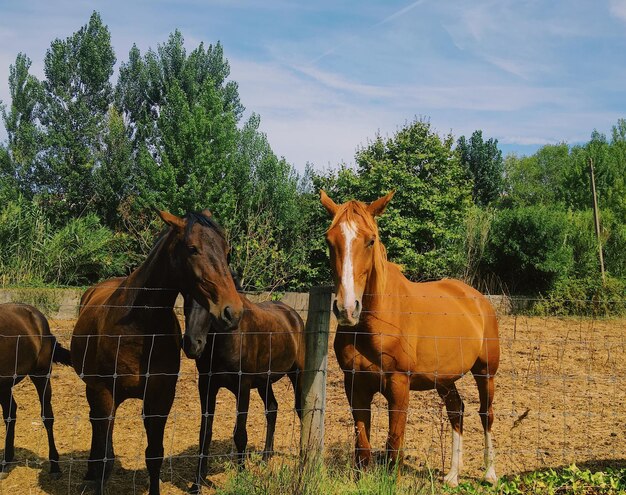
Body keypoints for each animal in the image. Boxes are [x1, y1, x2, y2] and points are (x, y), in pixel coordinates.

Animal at [0, 302, 71, 480]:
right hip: (5, 385)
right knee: (10, 413)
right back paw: (5, 463)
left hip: (41, 375)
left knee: (47, 416)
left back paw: (55, 467)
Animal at [70, 210, 241, 495]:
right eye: (192, 249)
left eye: (227, 251)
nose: (232, 312)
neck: (139, 327)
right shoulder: (105, 392)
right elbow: (106, 457)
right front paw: (98, 474)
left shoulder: (160, 397)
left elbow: (154, 454)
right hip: (94, 390)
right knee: (97, 427)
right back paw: (90, 471)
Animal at [182, 292, 304, 494]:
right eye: (186, 296)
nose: (192, 345)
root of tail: (292, 314)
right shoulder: (206, 386)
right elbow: (204, 434)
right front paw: (197, 484)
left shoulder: (243, 387)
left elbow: (240, 434)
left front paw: (241, 477)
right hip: (264, 382)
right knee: (272, 409)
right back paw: (265, 457)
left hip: (297, 373)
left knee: (302, 410)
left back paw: (304, 456)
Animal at [320, 191, 500, 488]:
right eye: (329, 240)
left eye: (371, 240)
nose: (347, 309)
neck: (374, 325)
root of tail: (477, 298)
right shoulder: (355, 385)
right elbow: (362, 445)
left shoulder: (398, 385)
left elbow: (394, 444)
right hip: (444, 379)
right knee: (456, 410)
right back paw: (453, 475)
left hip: (486, 373)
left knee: (486, 414)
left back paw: (489, 473)